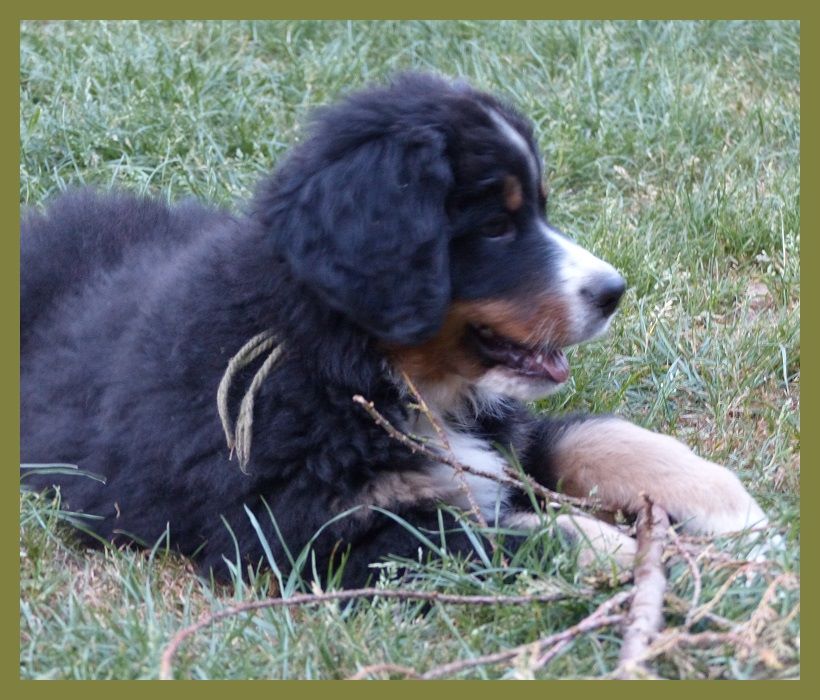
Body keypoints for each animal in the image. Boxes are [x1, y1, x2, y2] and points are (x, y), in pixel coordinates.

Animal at [21, 73, 768, 588]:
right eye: (496, 226)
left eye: (540, 209)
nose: (613, 292)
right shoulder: (304, 536)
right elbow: (498, 537)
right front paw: (632, 554)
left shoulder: (502, 436)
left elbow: (594, 436)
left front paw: (725, 503)